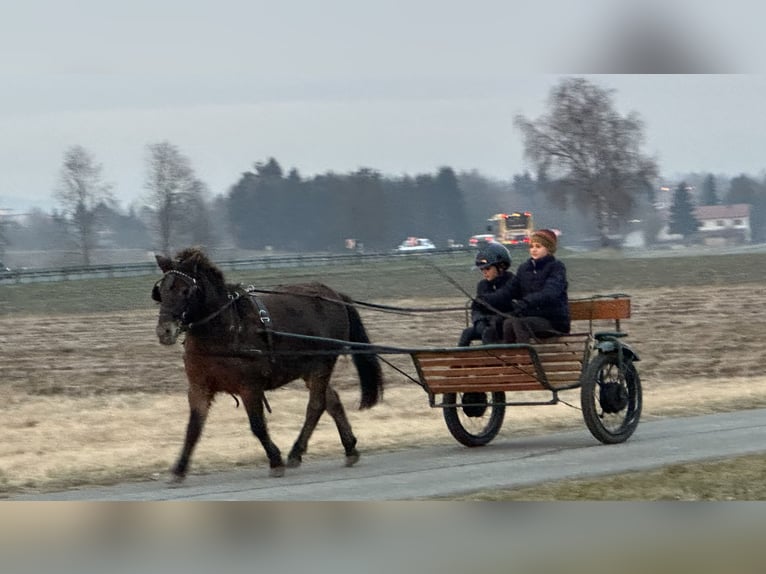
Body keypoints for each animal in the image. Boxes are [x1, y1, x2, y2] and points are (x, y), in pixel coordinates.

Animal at [154, 248, 388, 482]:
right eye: (161, 291)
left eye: (185, 290)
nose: (164, 331)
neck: (225, 330)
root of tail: (335, 295)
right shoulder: (199, 388)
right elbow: (193, 428)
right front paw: (179, 468)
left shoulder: (249, 387)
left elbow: (257, 426)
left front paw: (275, 460)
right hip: (309, 369)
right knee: (332, 401)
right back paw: (349, 448)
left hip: (322, 363)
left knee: (316, 405)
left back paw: (296, 451)